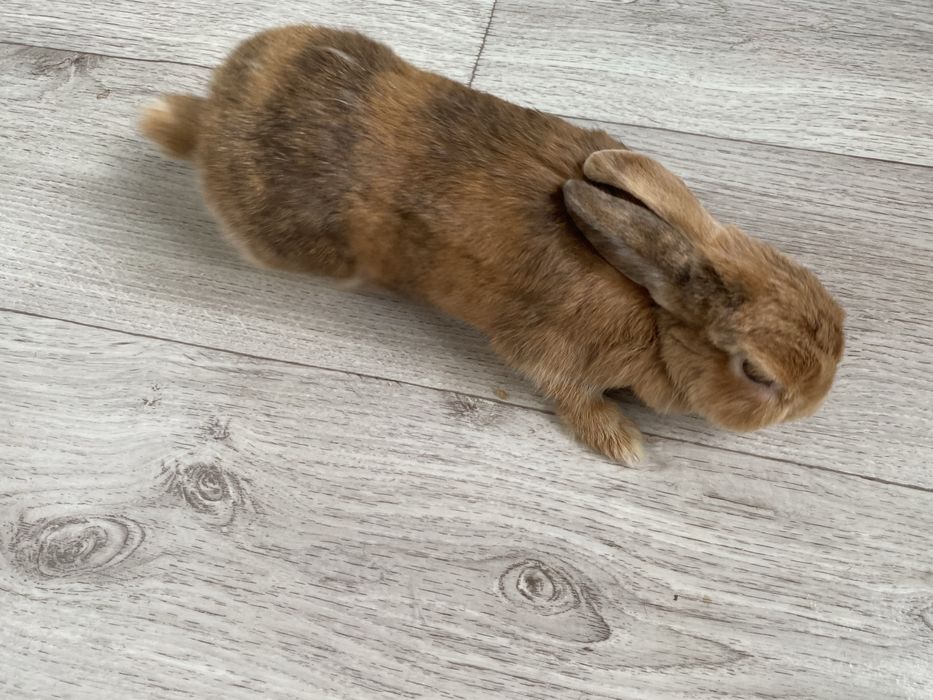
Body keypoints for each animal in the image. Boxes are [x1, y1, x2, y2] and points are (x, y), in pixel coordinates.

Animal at [140, 25, 845, 464]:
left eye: (831, 309)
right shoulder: (549, 355)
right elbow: (568, 395)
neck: (655, 310)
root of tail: (208, 119)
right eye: (758, 374)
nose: (817, 400)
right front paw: (623, 444)